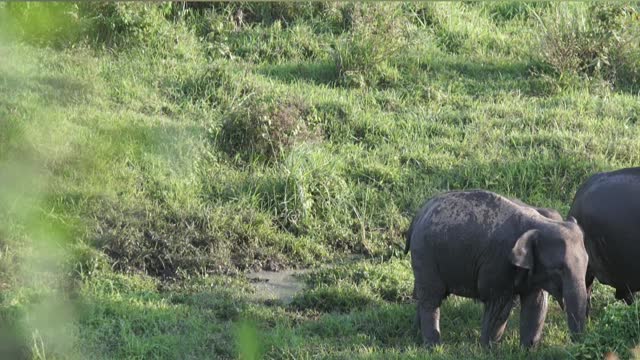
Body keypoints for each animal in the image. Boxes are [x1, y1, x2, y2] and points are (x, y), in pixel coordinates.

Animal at [408, 190, 588, 348]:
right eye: (559, 269)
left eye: (587, 265)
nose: (576, 344)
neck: (540, 223)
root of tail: (420, 212)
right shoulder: (498, 262)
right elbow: (499, 304)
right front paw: (489, 350)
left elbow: (535, 305)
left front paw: (527, 351)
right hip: (424, 253)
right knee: (432, 297)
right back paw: (433, 347)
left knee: (424, 296)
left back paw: (416, 336)